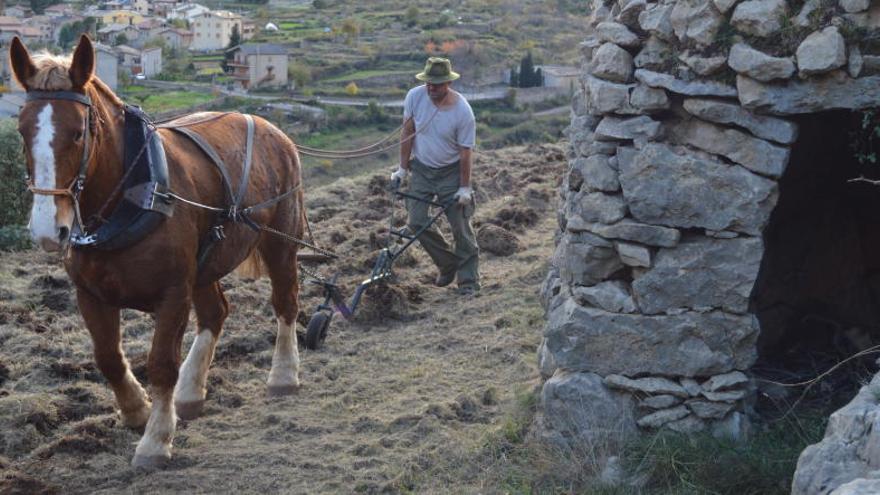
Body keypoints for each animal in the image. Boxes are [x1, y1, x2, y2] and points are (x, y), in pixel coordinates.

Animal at [9, 35, 306, 468]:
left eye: (79, 132)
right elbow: (108, 357)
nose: (50, 228)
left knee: (285, 302)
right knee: (216, 313)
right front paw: (137, 410)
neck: (133, 195)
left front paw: (155, 439)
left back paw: (283, 375)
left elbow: (161, 364)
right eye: (21, 130)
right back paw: (191, 392)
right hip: (206, 261)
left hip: (279, 242)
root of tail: (268, 126)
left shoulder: (173, 293)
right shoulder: (90, 294)